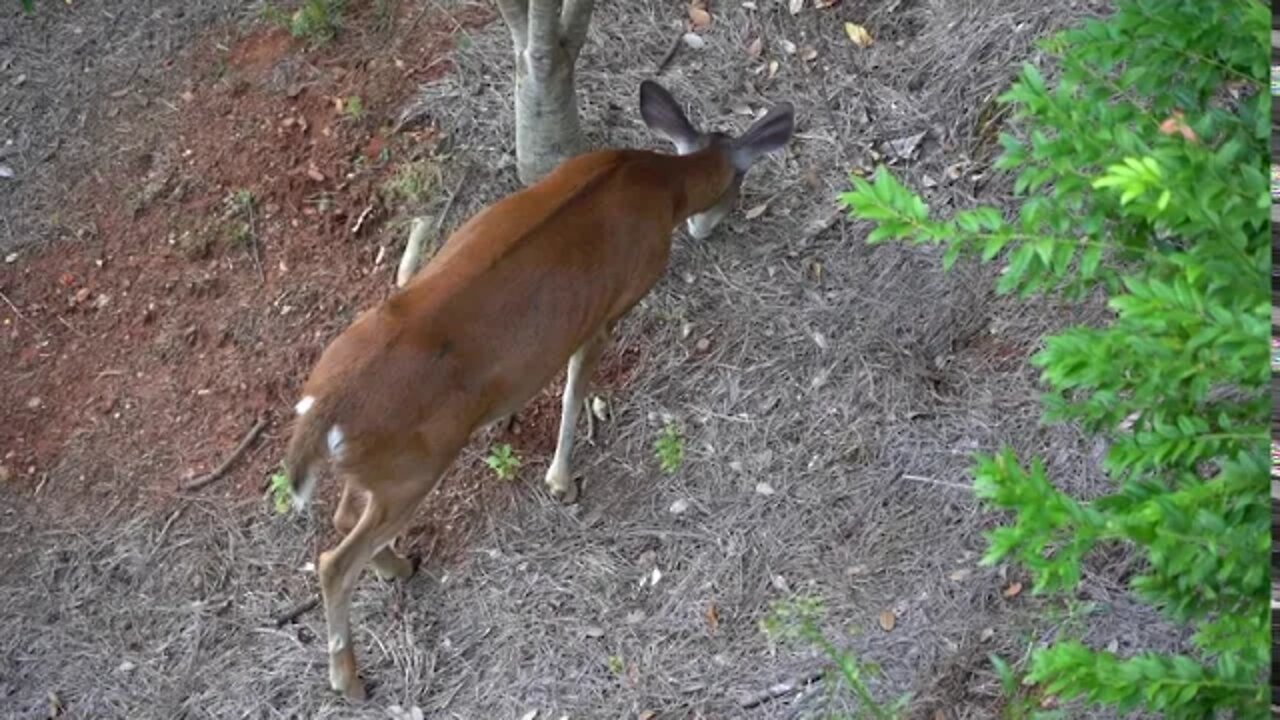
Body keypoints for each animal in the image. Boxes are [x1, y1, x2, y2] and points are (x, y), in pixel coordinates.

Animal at [284, 79, 795, 700]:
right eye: (741, 187)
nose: (716, 224)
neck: (657, 184)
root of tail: (322, 410)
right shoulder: (612, 304)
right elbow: (574, 390)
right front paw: (562, 481)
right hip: (413, 471)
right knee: (333, 561)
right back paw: (351, 678)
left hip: (380, 472)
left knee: (339, 522)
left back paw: (399, 568)